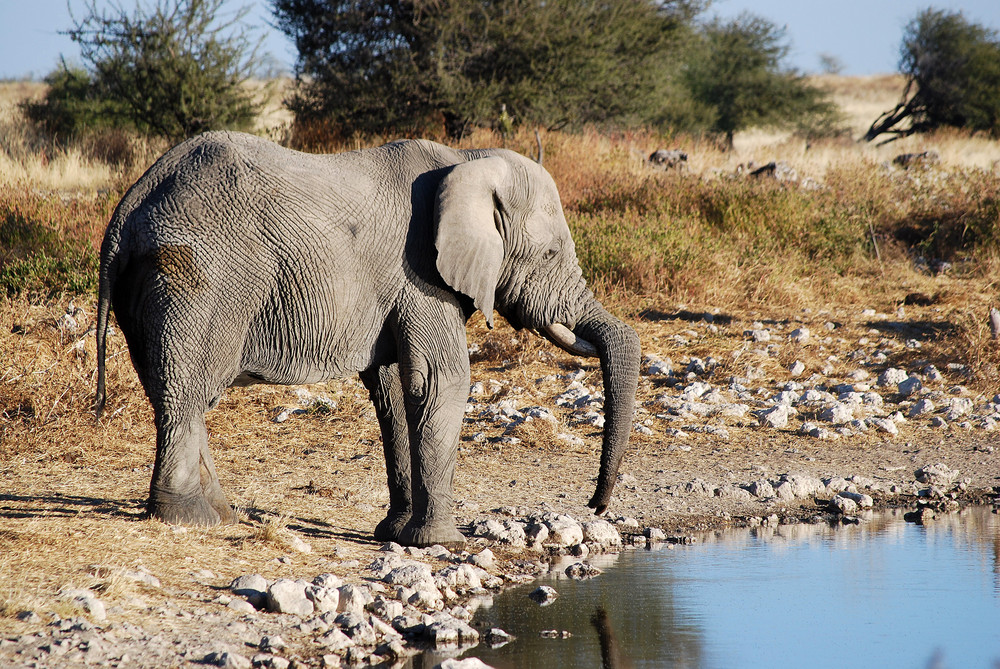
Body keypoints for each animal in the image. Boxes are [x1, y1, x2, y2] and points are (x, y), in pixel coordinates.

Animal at [94, 132, 640, 548]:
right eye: (549, 254)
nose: (594, 504)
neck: (468, 159)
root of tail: (127, 209)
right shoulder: (420, 275)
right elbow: (440, 382)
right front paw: (442, 543)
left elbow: (395, 390)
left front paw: (394, 534)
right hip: (196, 282)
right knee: (186, 393)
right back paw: (190, 518)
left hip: (149, 291)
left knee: (172, 391)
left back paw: (224, 514)